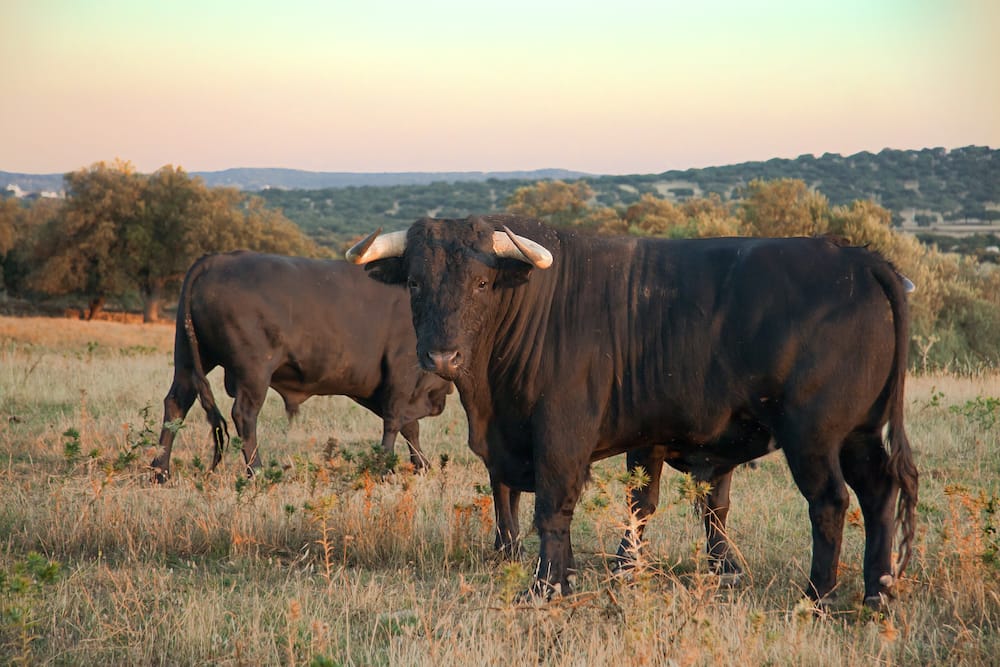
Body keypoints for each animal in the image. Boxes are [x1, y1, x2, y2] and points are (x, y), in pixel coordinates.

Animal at [151, 250, 454, 480]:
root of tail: (216, 260)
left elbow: (409, 427)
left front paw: (422, 465)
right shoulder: (402, 376)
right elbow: (396, 422)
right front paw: (385, 468)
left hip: (189, 363)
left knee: (176, 403)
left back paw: (160, 472)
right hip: (254, 372)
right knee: (244, 414)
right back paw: (256, 471)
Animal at [348, 217, 916, 608]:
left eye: (481, 284)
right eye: (415, 283)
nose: (441, 356)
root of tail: (858, 258)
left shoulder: (561, 435)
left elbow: (552, 509)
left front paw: (546, 586)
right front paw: (568, 577)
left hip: (813, 435)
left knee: (830, 503)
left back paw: (817, 596)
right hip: (860, 432)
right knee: (879, 491)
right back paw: (877, 591)